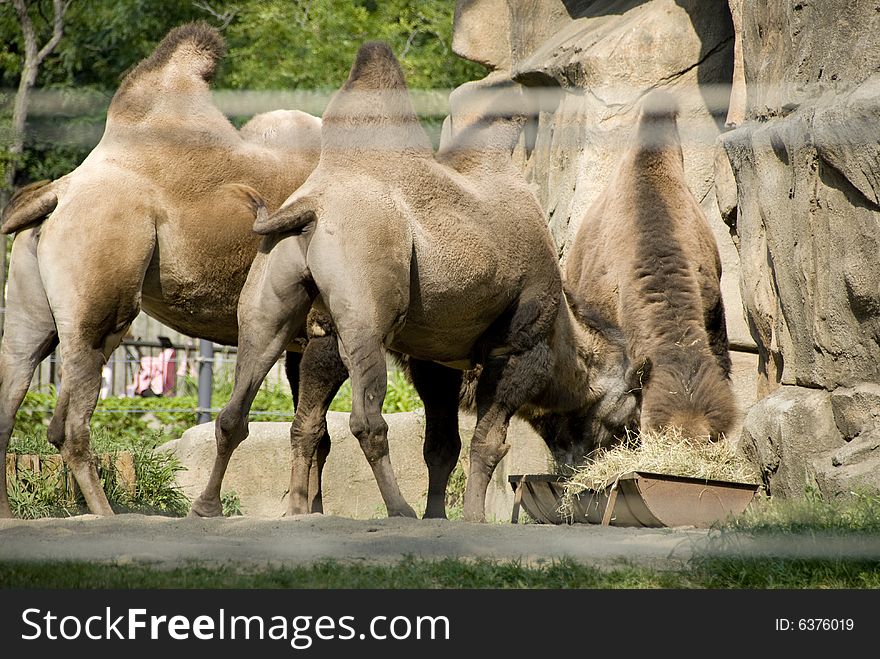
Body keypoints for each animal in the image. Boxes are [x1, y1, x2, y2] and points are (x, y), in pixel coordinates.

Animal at [0, 20, 324, 520]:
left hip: (28, 300)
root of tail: (61, 191)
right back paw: (106, 514)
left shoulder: (303, 339)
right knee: (73, 419)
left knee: (17, 378)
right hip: (101, 286)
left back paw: (8, 511)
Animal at [192, 42, 644, 524]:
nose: (631, 439)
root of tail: (310, 207)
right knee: (366, 419)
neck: (566, 342)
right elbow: (488, 443)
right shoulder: (518, 348)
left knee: (242, 407)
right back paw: (398, 508)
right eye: (630, 400)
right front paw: (472, 517)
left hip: (271, 295)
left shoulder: (436, 360)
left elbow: (442, 446)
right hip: (364, 306)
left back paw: (214, 506)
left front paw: (437, 515)